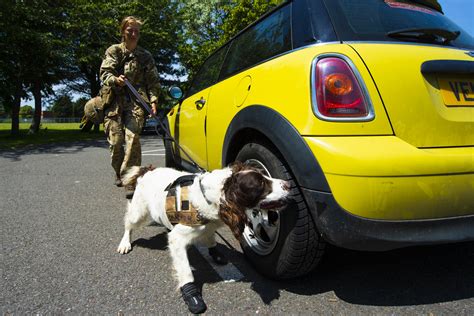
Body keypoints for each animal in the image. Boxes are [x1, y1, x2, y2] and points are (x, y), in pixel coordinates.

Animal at [118, 163, 288, 314]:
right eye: (260, 184)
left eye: (265, 176)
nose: (289, 184)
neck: (209, 197)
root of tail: (147, 170)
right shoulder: (177, 240)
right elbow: (186, 271)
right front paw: (192, 295)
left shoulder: (209, 225)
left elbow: (211, 238)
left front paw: (216, 254)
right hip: (138, 212)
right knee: (128, 224)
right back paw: (124, 243)